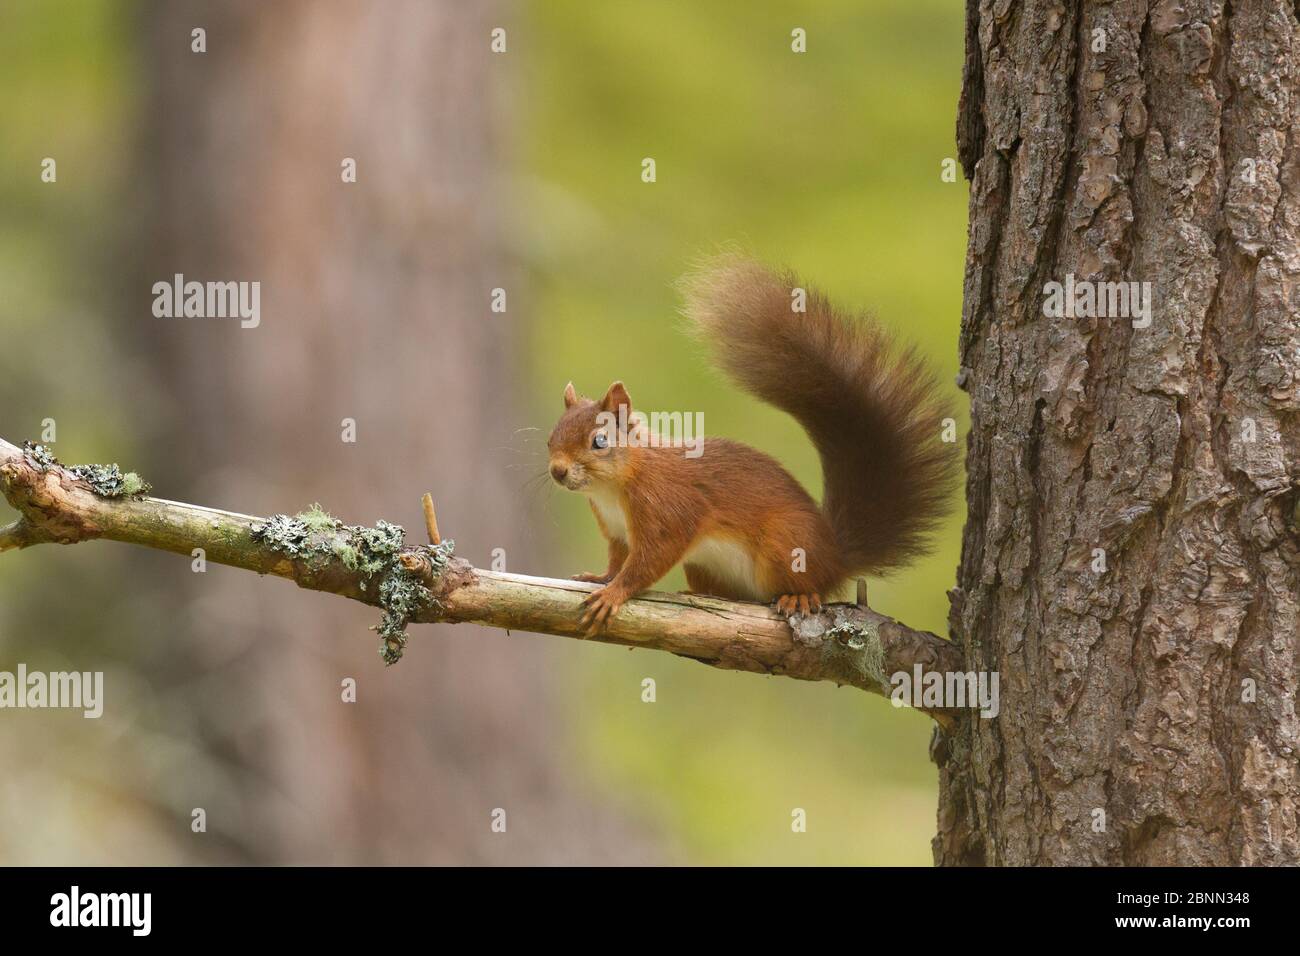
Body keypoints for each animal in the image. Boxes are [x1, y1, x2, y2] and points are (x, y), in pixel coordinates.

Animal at [548, 254, 956, 634]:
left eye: (600, 440)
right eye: (552, 436)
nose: (557, 471)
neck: (612, 489)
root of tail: (836, 557)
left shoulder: (668, 508)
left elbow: (649, 561)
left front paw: (615, 592)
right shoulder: (616, 531)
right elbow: (617, 560)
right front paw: (600, 578)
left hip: (785, 544)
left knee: (814, 587)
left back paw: (799, 596)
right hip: (705, 566)